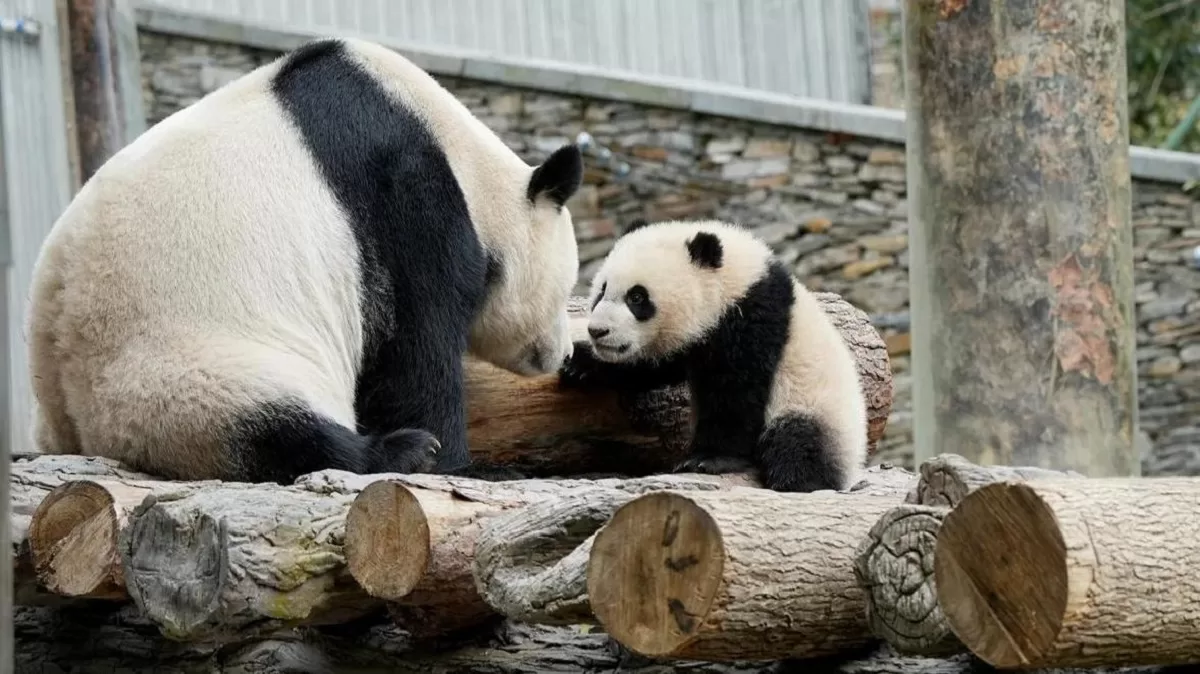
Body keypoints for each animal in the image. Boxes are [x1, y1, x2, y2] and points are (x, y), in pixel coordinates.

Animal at [26, 37, 584, 484]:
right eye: (564, 289)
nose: (560, 353)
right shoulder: (403, 193)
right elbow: (415, 340)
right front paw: (457, 459)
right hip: (184, 369)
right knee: (272, 427)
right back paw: (400, 453)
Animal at [560, 218, 868, 492]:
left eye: (637, 297)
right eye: (601, 291)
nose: (598, 331)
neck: (736, 281)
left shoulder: (751, 319)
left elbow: (736, 391)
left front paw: (708, 459)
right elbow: (654, 366)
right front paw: (581, 364)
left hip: (817, 408)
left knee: (797, 442)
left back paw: (797, 480)